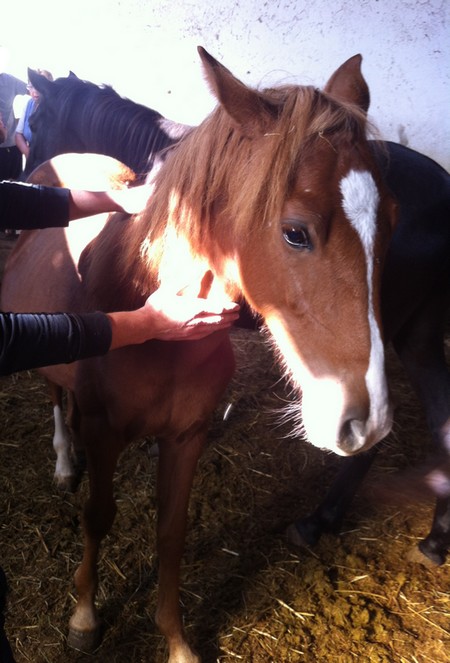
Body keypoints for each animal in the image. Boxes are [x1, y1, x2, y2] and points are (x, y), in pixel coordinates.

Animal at [0, 48, 396, 663]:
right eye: (295, 233)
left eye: (392, 220)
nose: (367, 421)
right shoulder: (105, 431)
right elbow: (98, 516)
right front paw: (85, 616)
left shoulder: (186, 436)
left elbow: (171, 530)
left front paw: (176, 640)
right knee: (54, 391)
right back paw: (65, 460)